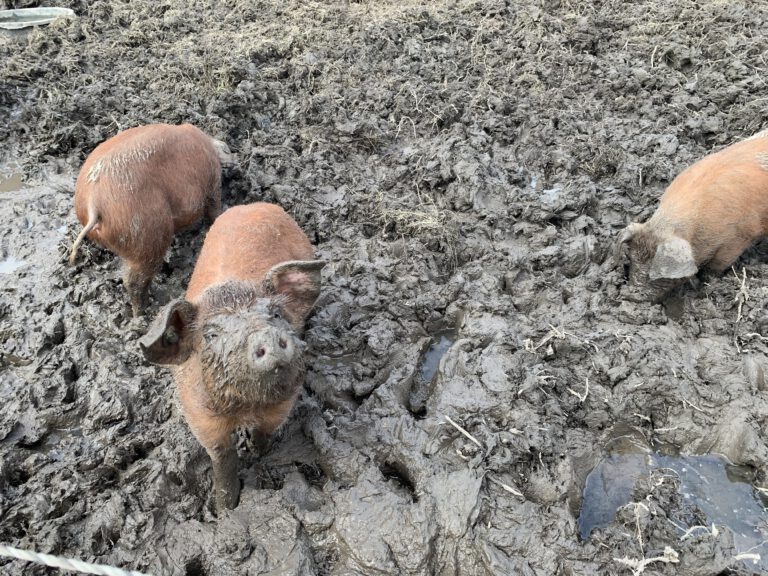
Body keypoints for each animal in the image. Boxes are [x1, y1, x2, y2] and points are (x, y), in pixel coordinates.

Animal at [68, 122, 226, 318]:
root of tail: (94, 200)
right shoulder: (212, 185)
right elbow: (214, 210)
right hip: (146, 232)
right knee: (134, 280)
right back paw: (142, 313)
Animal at [140, 202, 326, 508]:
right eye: (211, 335)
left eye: (276, 314)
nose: (265, 336)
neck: (245, 407)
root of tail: (252, 205)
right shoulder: (199, 414)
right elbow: (222, 456)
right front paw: (225, 506)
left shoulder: (284, 401)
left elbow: (265, 432)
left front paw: (257, 453)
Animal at [616, 129, 768, 300]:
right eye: (631, 258)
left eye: (656, 275)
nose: (629, 295)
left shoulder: (737, 239)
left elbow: (717, 266)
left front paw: (704, 283)